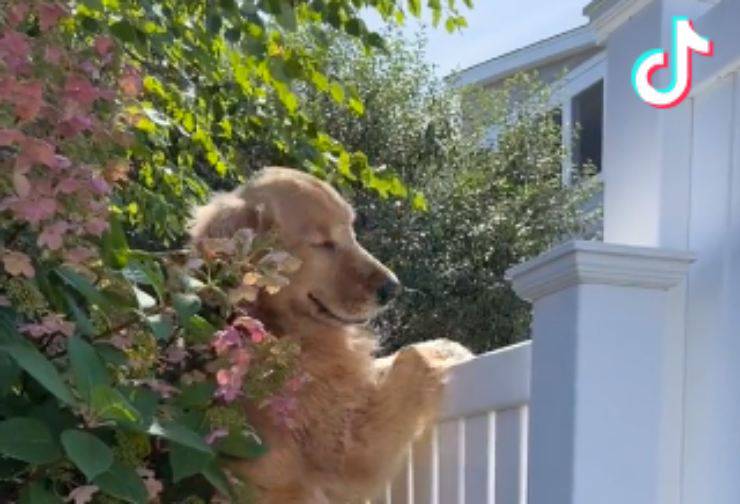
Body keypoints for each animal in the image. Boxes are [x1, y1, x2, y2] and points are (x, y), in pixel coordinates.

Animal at [188, 167, 472, 502]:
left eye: (351, 233)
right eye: (323, 243)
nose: (392, 288)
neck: (277, 327)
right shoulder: (348, 449)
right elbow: (410, 357)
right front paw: (446, 348)